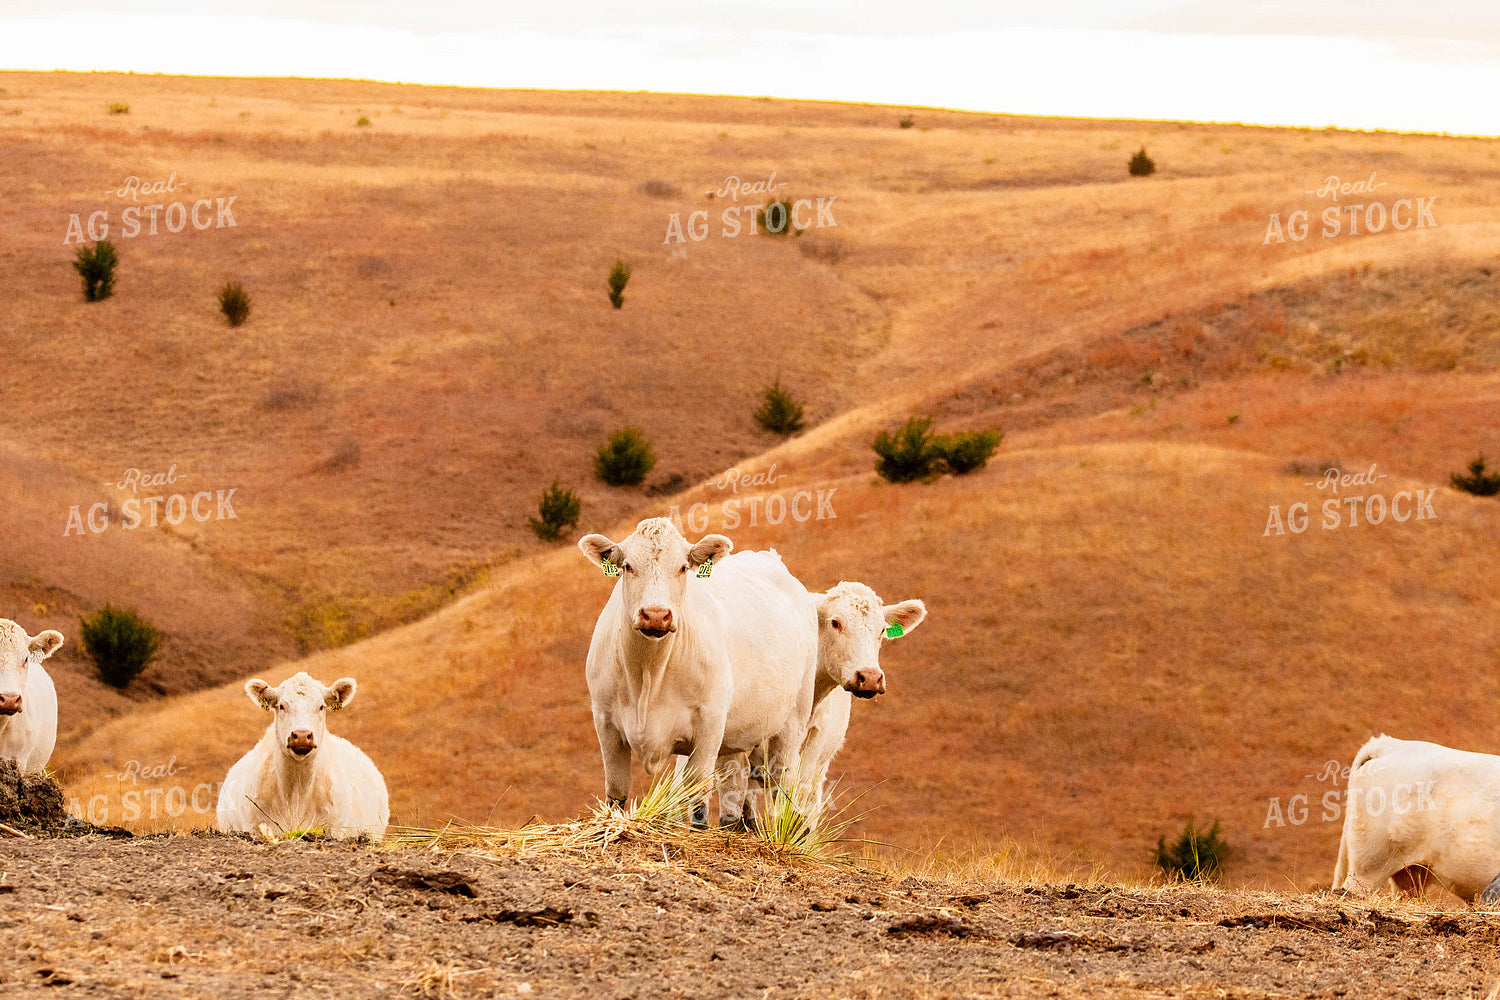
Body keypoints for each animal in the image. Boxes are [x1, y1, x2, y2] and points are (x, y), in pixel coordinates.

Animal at [577, 518, 818, 827]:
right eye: (628, 566)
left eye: (682, 568)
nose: (655, 615)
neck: (648, 674)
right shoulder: (605, 720)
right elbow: (616, 793)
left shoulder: (709, 722)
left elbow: (698, 799)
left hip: (793, 722)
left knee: (780, 785)